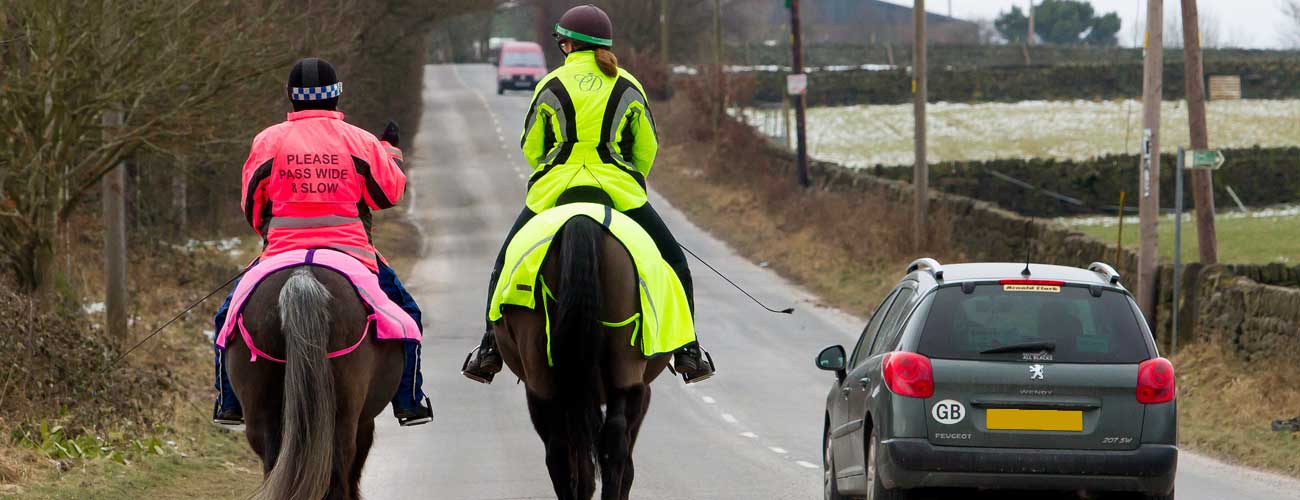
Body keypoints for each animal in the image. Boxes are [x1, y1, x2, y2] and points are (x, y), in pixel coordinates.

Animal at [226, 264, 403, 498]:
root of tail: (303, 275)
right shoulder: (364, 421)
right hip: (343, 417)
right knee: (338, 473)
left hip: (262, 414)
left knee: (273, 463)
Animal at [488, 215, 670, 498]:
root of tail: (580, 220)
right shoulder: (642, 391)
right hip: (622, 372)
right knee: (605, 444)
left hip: (548, 382)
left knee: (564, 447)